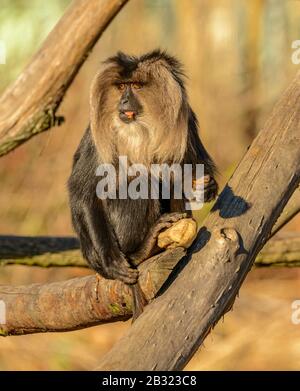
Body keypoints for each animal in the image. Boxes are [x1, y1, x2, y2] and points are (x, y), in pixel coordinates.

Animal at [68, 49, 218, 322]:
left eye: (136, 86)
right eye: (121, 87)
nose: (124, 102)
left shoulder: (185, 120)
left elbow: (189, 169)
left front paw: (205, 188)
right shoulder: (96, 136)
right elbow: (84, 192)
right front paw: (112, 261)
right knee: (142, 182)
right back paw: (140, 251)